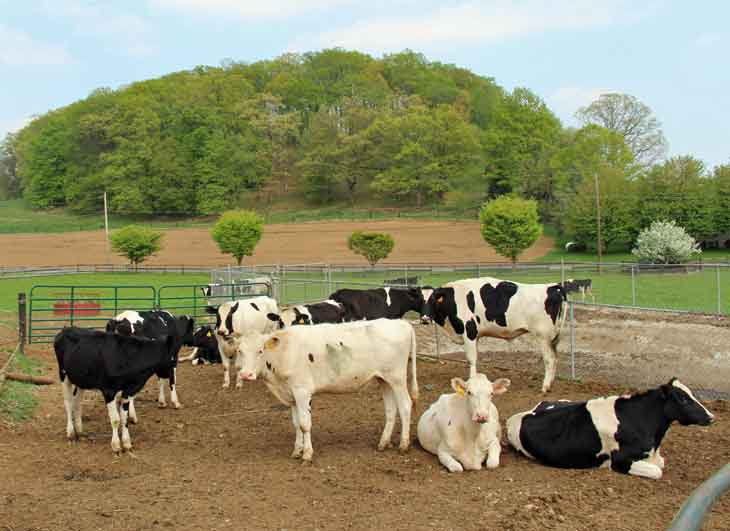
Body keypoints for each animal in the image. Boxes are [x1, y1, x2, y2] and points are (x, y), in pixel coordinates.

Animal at [240, 320, 416, 462]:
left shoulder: (302, 391)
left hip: (398, 379)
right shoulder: (291, 394)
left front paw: (307, 454)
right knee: (391, 410)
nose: (246, 375)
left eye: (260, 350)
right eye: (240, 351)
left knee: (405, 406)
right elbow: (296, 424)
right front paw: (297, 451)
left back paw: (403, 445)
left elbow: (304, 424)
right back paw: (383, 443)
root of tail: (401, 323)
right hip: (384, 380)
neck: (285, 351)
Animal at [420, 278, 568, 390]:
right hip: (552, 338)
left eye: (433, 300)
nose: (425, 319)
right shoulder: (475, 336)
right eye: (419, 300)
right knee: (555, 358)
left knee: (549, 359)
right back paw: (551, 383)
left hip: (543, 336)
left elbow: (471, 359)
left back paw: (545, 386)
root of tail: (552, 286)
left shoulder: (469, 333)